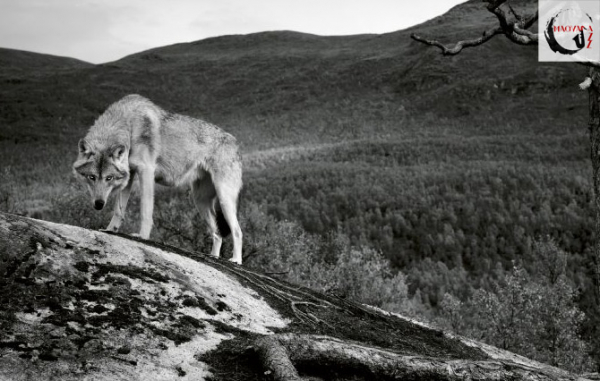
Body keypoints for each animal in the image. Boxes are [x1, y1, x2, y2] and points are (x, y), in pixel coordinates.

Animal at [72, 93, 244, 262]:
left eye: (109, 178)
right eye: (92, 177)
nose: (99, 204)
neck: (129, 126)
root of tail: (235, 142)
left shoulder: (146, 171)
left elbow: (145, 211)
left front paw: (142, 236)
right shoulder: (129, 175)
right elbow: (119, 210)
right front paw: (109, 230)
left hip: (224, 199)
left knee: (237, 230)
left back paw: (235, 260)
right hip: (199, 201)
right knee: (218, 234)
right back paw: (213, 257)